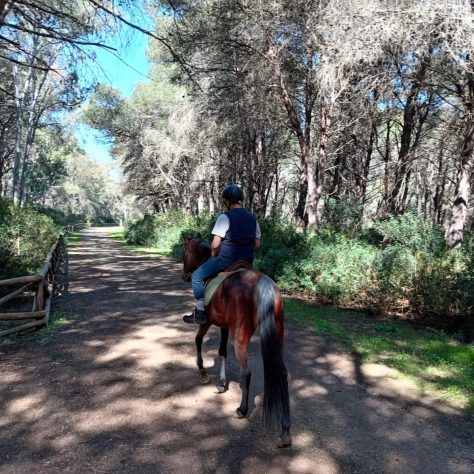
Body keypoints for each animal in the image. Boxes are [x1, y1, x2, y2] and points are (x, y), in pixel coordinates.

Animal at [181, 233, 292, 448]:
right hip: (277, 334)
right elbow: (222, 351)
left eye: (184, 252)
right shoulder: (224, 325)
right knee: (281, 373)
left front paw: (203, 371)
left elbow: (198, 340)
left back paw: (242, 409)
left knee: (246, 372)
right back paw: (285, 432)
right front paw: (222, 383)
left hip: (240, 336)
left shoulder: (207, 321)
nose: (185, 276)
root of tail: (262, 283)